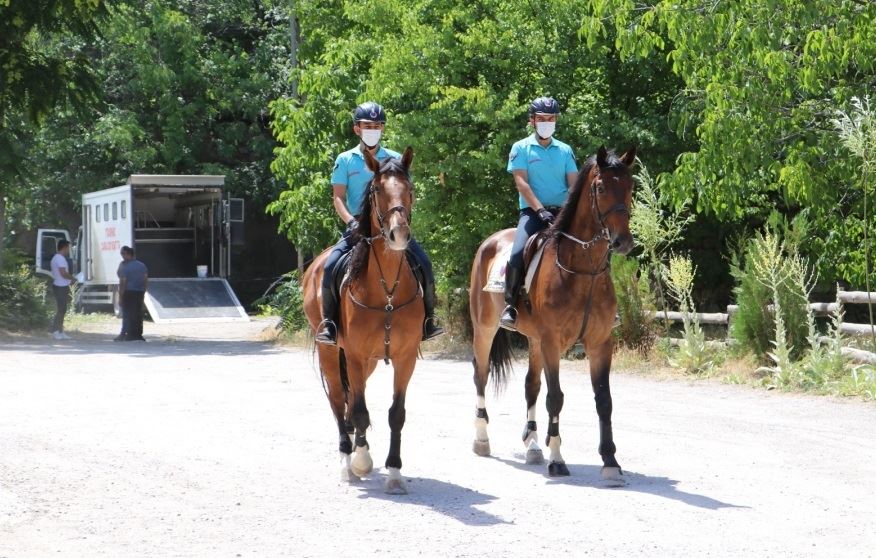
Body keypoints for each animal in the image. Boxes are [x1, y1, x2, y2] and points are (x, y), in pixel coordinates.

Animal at [302, 147, 424, 496]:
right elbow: (356, 410)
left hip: (367, 362)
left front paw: (394, 472)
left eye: (409, 189)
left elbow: (396, 414)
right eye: (377, 190)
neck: (387, 292)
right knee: (339, 400)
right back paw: (348, 462)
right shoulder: (354, 355)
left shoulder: (405, 357)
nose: (399, 234)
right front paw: (360, 462)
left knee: (354, 398)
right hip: (332, 352)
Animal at [468, 147, 632, 484]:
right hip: (485, 329)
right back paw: (482, 439)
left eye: (631, 187)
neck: (583, 269)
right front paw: (557, 459)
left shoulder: (600, 343)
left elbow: (604, 400)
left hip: (533, 340)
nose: (623, 242)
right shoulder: (552, 342)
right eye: (601, 188)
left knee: (531, 385)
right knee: (481, 375)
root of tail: (489, 242)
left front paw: (610, 461)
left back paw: (532, 445)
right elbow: (555, 397)